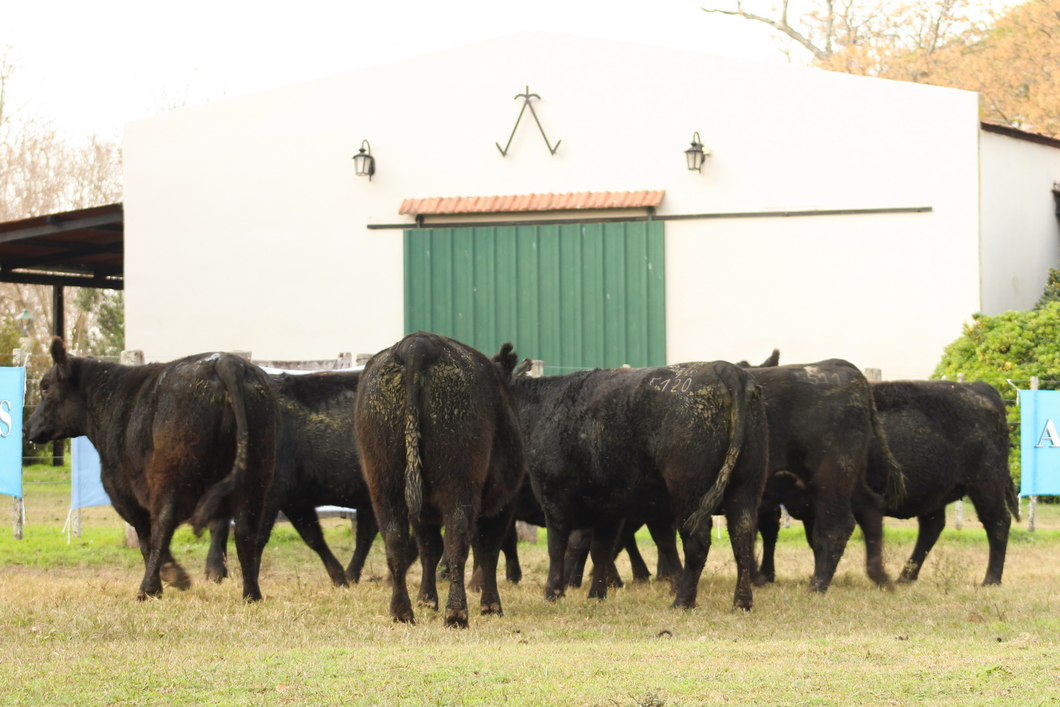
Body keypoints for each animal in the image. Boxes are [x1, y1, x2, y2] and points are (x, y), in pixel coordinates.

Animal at [23, 339, 277, 602]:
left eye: (45, 388)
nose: (26, 428)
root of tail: (225, 361)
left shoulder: (123, 490)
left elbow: (147, 535)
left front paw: (169, 577)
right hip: (257, 473)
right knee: (246, 531)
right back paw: (252, 594)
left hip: (171, 472)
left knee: (164, 522)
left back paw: (147, 588)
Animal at [202, 370, 377, 585]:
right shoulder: (296, 501)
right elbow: (314, 537)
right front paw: (338, 577)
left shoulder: (269, 496)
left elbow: (255, 536)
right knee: (367, 532)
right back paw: (352, 576)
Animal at [354, 334, 523, 627]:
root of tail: (417, 344)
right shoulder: (503, 503)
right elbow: (488, 551)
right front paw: (491, 605)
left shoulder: (422, 511)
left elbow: (428, 549)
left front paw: (426, 599)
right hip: (459, 480)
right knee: (457, 538)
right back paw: (456, 613)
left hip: (384, 481)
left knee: (395, 541)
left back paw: (402, 611)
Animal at [506, 362, 767, 610]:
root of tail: (724, 367)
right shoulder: (608, 509)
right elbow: (600, 550)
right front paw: (596, 595)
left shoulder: (554, 500)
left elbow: (558, 547)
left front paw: (553, 593)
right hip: (745, 488)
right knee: (742, 537)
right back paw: (742, 602)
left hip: (689, 493)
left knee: (697, 543)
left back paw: (682, 601)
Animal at [746, 360, 903, 593]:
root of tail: (832, 364)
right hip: (847, 477)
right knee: (870, 508)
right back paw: (880, 577)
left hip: (830, 475)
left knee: (838, 526)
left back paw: (816, 586)